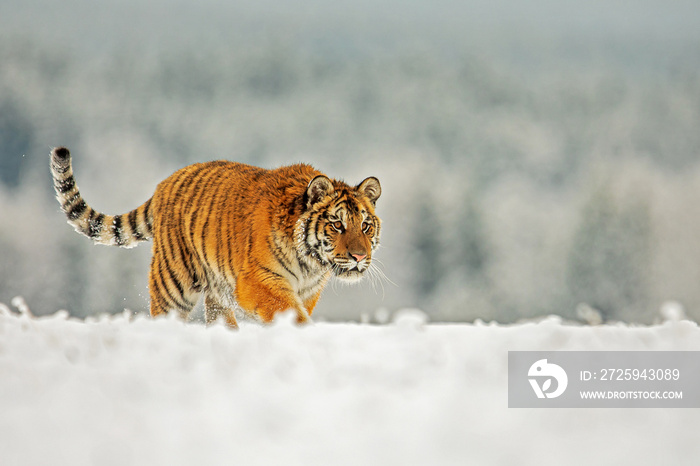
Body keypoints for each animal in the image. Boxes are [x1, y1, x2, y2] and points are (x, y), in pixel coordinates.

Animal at [50, 147, 382, 328]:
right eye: (337, 225)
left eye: (365, 226)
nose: (359, 256)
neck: (311, 263)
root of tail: (164, 184)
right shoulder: (258, 280)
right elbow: (288, 311)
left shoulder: (308, 292)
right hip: (174, 282)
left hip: (216, 291)